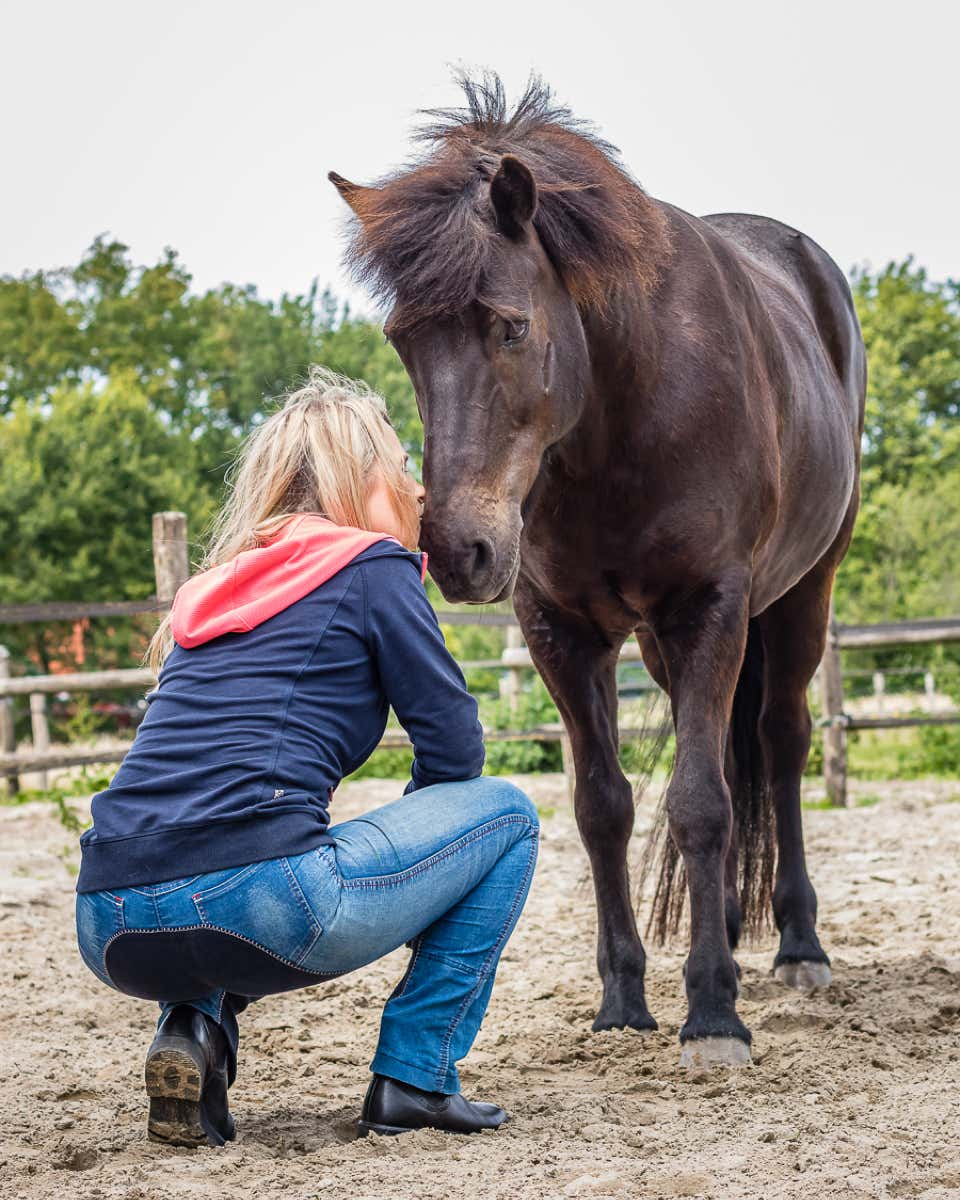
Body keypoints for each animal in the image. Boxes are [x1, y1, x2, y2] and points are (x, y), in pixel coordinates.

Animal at [328, 77, 864, 1070]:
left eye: (509, 327)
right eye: (401, 338)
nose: (458, 550)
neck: (624, 413)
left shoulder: (710, 608)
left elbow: (699, 803)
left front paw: (712, 1015)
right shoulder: (563, 631)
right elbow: (604, 806)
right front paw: (625, 999)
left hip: (802, 597)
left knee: (777, 743)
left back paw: (797, 947)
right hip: (661, 643)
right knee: (722, 752)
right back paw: (728, 923)